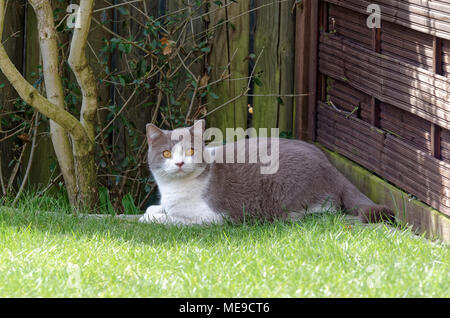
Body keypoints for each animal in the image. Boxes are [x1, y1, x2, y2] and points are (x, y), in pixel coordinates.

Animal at [140, 120, 394, 226]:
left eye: (191, 150)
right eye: (166, 153)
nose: (180, 163)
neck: (174, 190)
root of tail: (333, 169)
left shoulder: (213, 217)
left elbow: (168, 219)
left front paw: (150, 218)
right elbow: (153, 208)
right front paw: (152, 211)